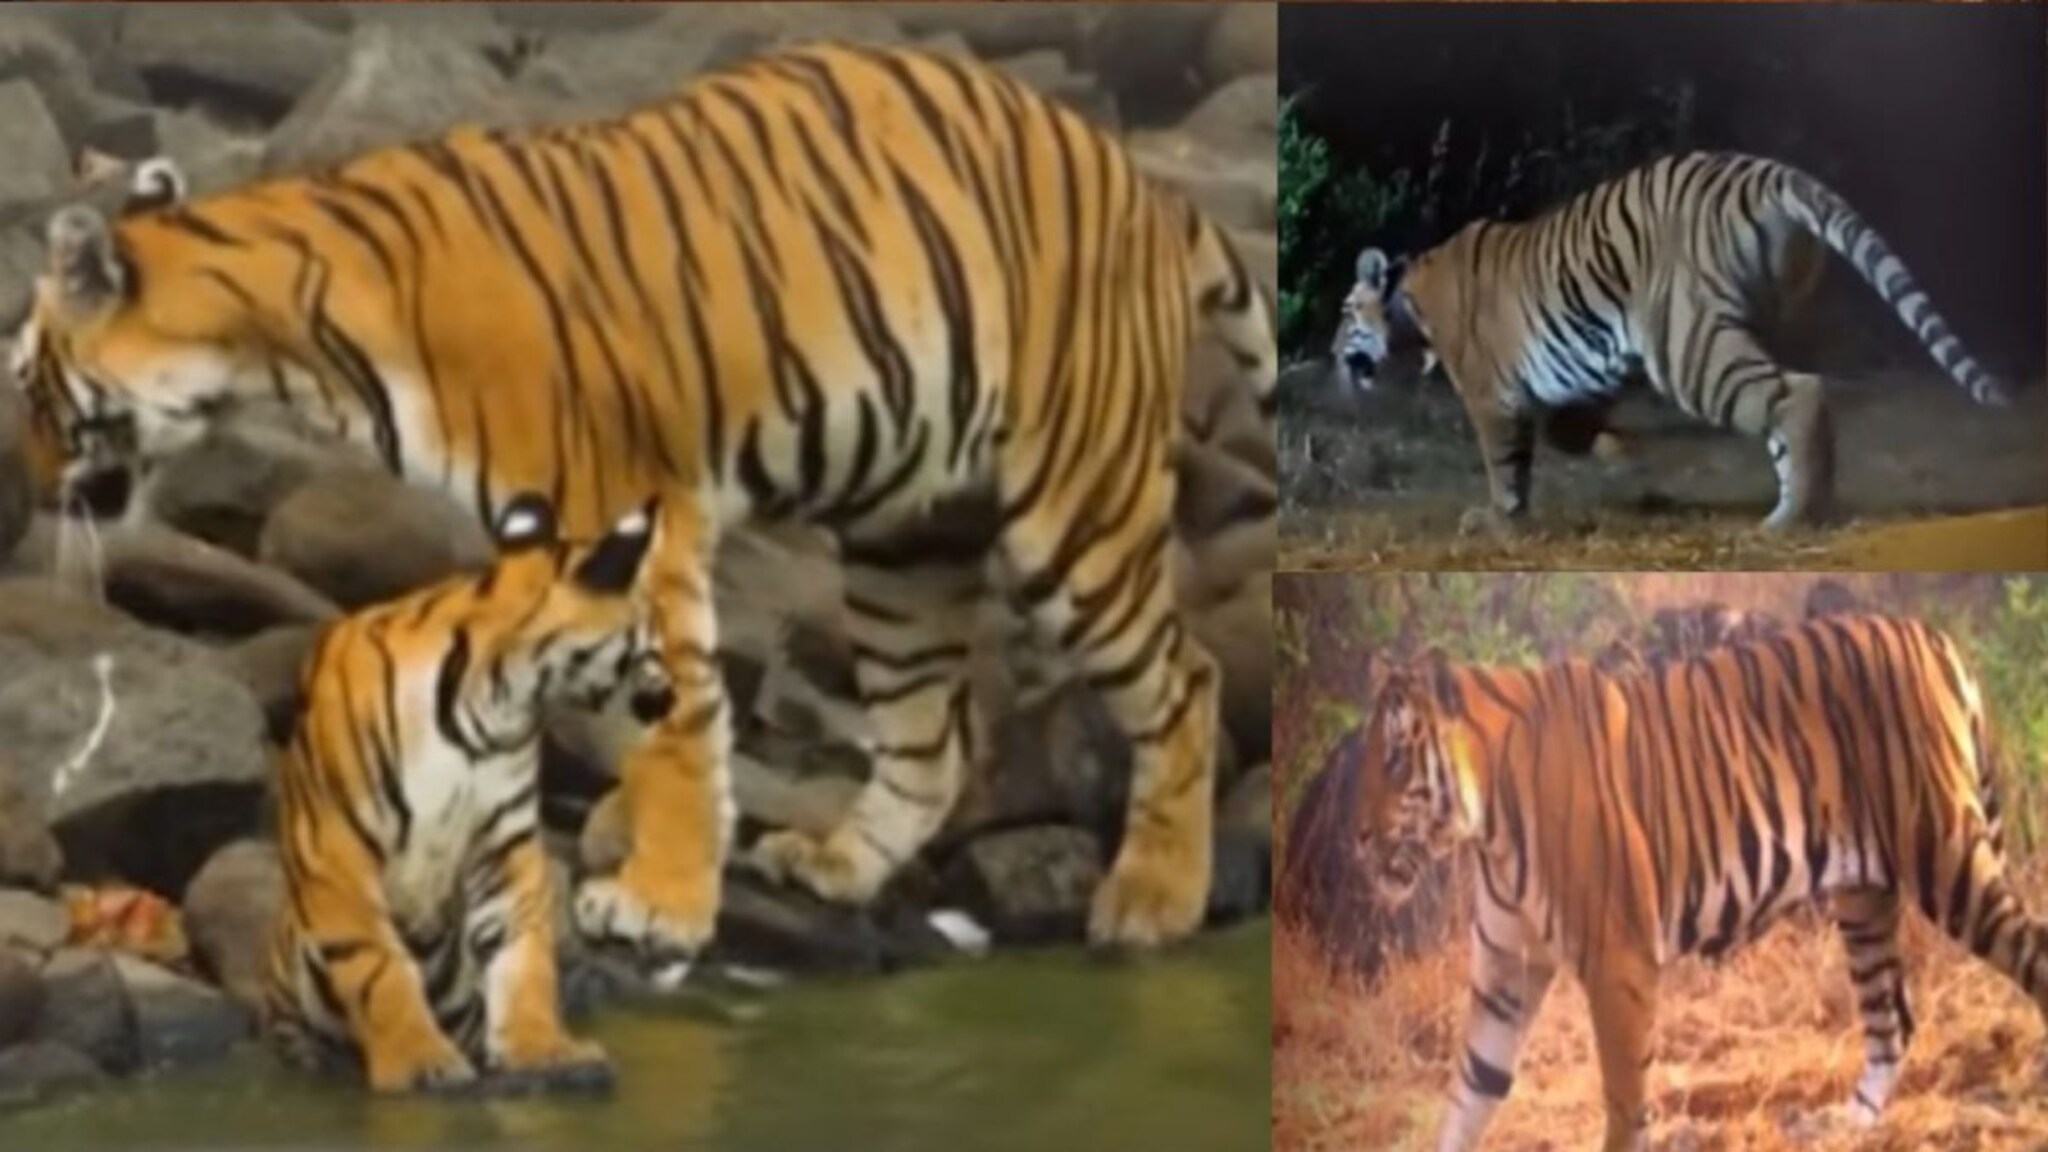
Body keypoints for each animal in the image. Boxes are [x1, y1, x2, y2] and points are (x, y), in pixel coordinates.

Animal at [9, 41, 1278, 957]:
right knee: (929, 737)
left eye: (27, 380)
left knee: (1185, 682)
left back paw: (1152, 900)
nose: (16, 487)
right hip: (905, 541)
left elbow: (675, 717)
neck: (285, 339)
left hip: (1078, 508)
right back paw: (837, 867)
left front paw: (656, 902)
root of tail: (1142, 182)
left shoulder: (633, 516)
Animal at [267, 492, 672, 1095]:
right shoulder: (338, 848)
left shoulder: (504, 845)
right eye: (652, 641)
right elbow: (377, 964)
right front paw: (418, 1059)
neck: (494, 700)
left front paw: (543, 1050)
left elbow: (522, 956)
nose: (671, 700)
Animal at [1334, 150, 2008, 532]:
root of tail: (1769, 173)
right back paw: (1813, 503)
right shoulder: (1596, 364)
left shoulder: (1492, 396)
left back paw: (1790, 520)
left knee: (1800, 394)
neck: (1413, 305)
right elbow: (1565, 432)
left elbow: (1506, 462)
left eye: (1344, 316)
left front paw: (1499, 518)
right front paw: (1622, 449)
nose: (1331, 358)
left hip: (1690, 346)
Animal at [1351, 613, 2048, 1152]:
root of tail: (1933, 635)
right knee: (1891, 1022)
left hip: (1944, 854)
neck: (1485, 826)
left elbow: (1624, 1098)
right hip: (1864, 898)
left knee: (2028, 950)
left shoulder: (1619, 960)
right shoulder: (1504, 973)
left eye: (1396, 758)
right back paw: (1842, 1124)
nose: (1355, 837)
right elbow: (1472, 1090)